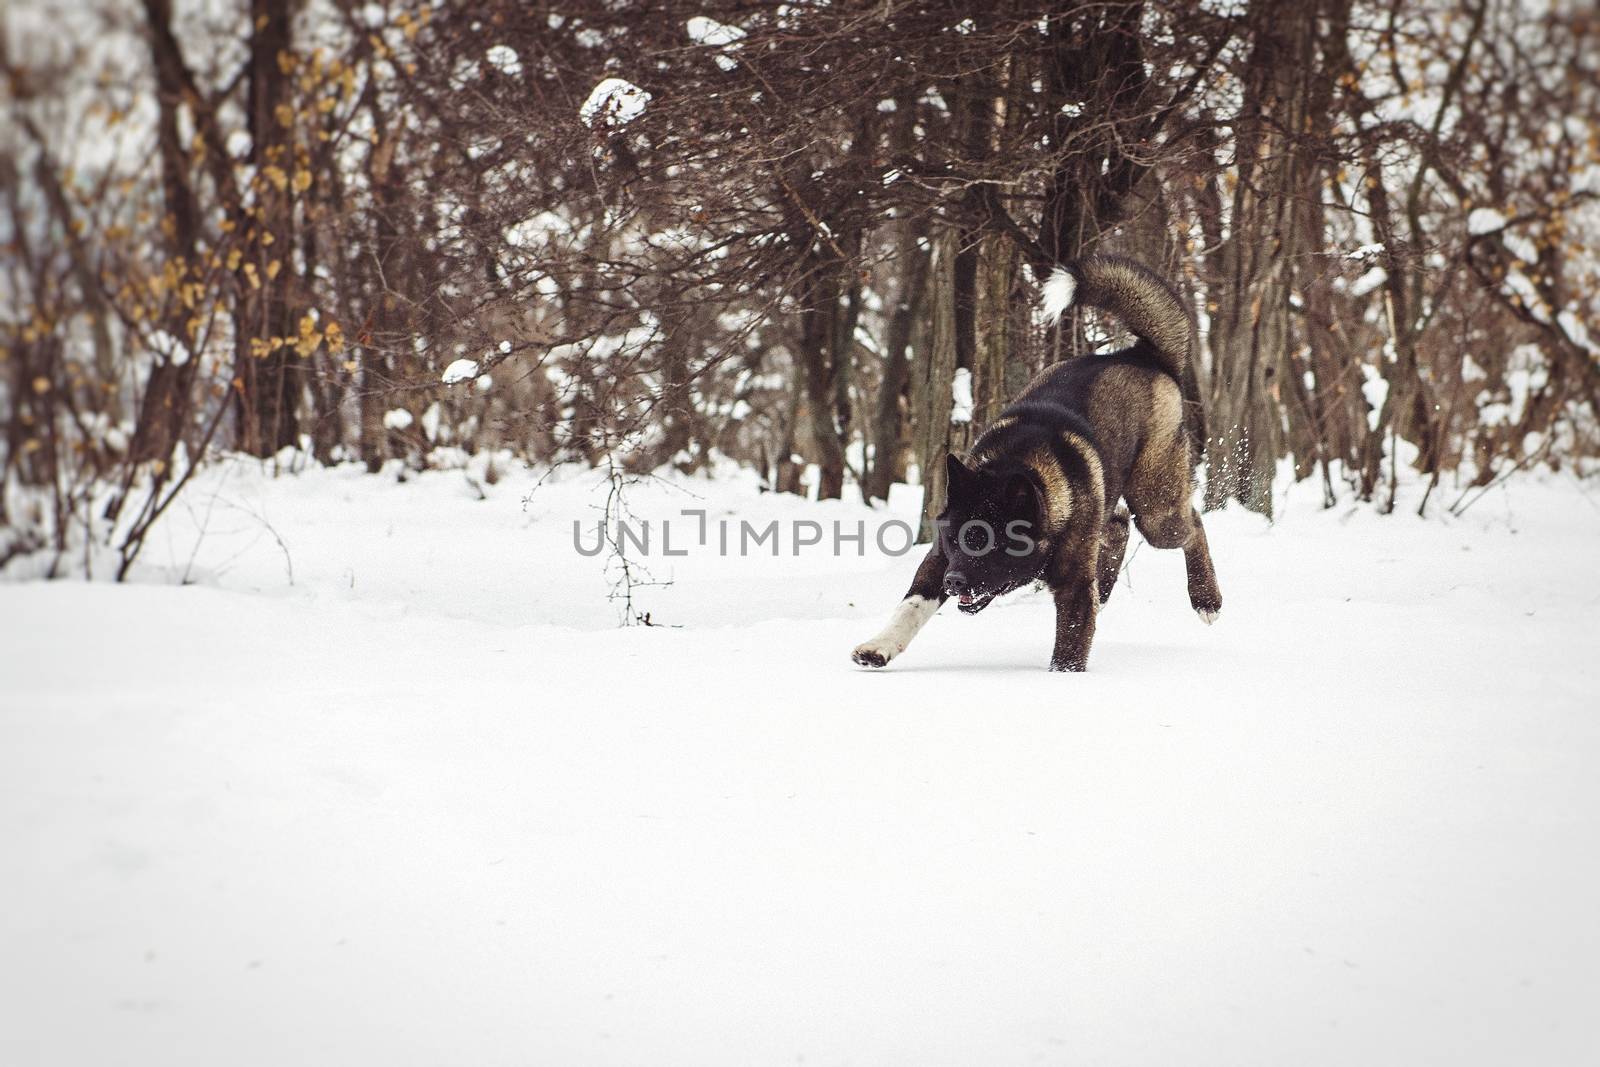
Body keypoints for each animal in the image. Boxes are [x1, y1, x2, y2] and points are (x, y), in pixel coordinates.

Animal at [857, 254, 1216, 671]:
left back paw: (1207, 600)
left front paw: (1058, 679)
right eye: (957, 538)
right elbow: (910, 607)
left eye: (991, 542)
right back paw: (1108, 591)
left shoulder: (1073, 588)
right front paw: (878, 647)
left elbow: (1070, 647)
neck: (1014, 464)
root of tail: (1140, 355)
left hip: (1156, 507)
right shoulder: (937, 561)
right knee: (1119, 525)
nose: (955, 583)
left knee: (1191, 523)